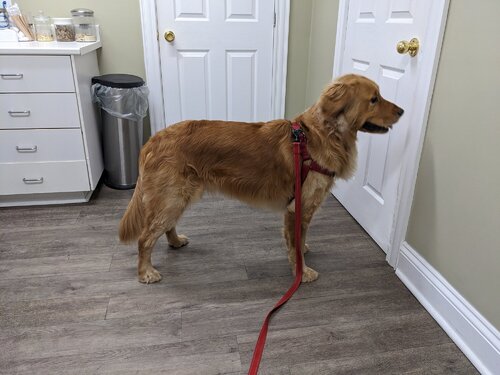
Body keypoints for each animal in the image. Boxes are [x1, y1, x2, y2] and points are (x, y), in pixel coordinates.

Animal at [119, 75, 404, 284]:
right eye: (374, 99)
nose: (402, 110)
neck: (321, 136)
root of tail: (153, 139)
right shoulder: (297, 207)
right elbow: (295, 246)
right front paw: (302, 272)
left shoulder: (300, 209)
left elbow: (297, 240)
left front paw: (303, 249)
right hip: (172, 197)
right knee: (145, 238)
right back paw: (146, 272)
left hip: (178, 196)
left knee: (166, 226)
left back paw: (176, 241)